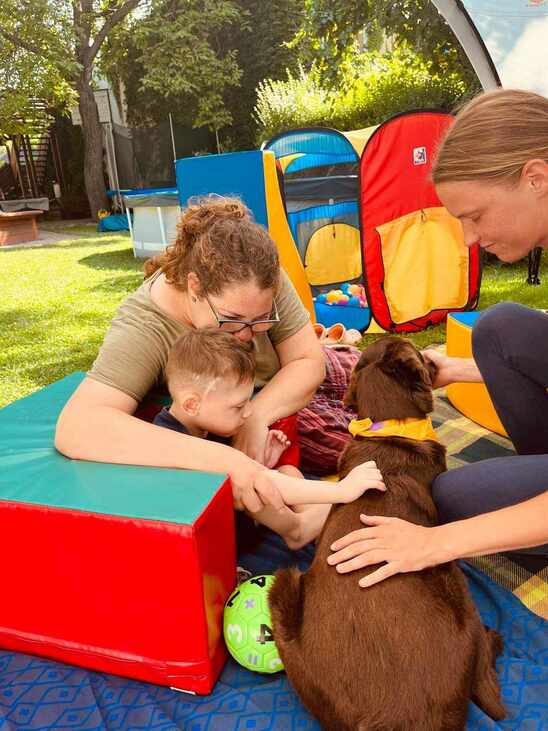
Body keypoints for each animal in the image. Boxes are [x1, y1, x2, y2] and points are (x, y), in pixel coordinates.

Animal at [268, 338, 506, 731]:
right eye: (422, 356)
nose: (435, 360)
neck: (391, 428)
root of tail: (390, 719)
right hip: (453, 583)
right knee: (485, 679)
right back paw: (494, 639)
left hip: (284, 588)